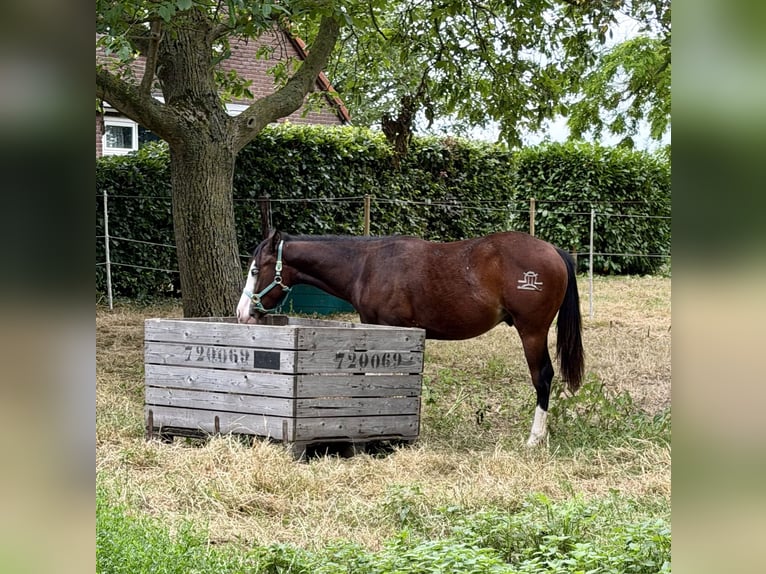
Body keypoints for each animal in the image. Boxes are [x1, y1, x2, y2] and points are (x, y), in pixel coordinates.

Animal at [236, 229, 584, 446]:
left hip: (532, 332)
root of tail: (553, 251)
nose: (242, 314)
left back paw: (535, 438)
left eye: (254, 270)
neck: (366, 265)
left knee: (543, 377)